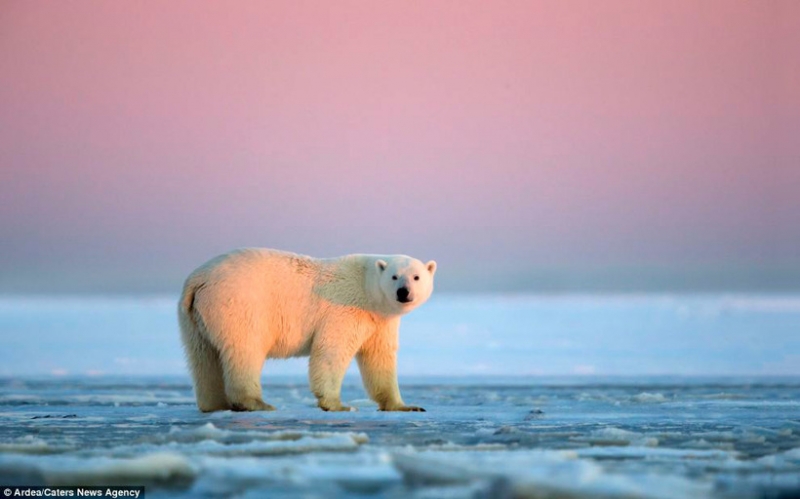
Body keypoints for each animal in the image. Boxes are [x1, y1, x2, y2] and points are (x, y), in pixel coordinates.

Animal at [178, 248, 438, 412]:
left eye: (416, 276)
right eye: (394, 276)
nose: (403, 292)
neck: (367, 288)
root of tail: (197, 279)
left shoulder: (380, 321)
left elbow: (379, 358)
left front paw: (406, 406)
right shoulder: (345, 310)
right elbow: (332, 351)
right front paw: (338, 405)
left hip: (194, 317)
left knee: (203, 358)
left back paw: (214, 404)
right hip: (237, 305)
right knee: (244, 350)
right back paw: (256, 403)